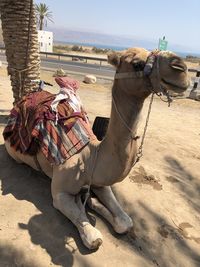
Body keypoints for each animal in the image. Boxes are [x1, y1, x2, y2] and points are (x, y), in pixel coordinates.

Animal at [4, 47, 189, 251]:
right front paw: (86, 205)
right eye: (137, 64)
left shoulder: (101, 182)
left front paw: (92, 201)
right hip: (15, 154)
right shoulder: (60, 193)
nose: (180, 68)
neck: (89, 157)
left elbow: (126, 222)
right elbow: (94, 238)